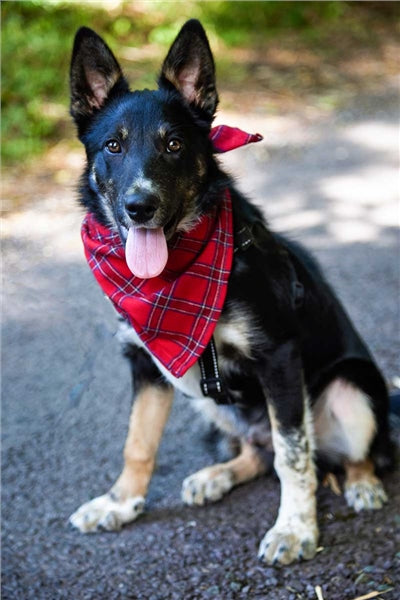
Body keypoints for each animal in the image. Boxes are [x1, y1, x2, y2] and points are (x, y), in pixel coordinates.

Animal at [68, 18, 390, 564]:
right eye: (112, 146)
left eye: (174, 145)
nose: (139, 207)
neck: (177, 273)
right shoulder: (147, 364)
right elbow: (139, 442)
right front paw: (120, 502)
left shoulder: (279, 357)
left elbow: (294, 457)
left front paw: (295, 529)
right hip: (207, 402)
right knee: (257, 453)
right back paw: (217, 475)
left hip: (352, 389)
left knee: (349, 453)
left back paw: (363, 482)